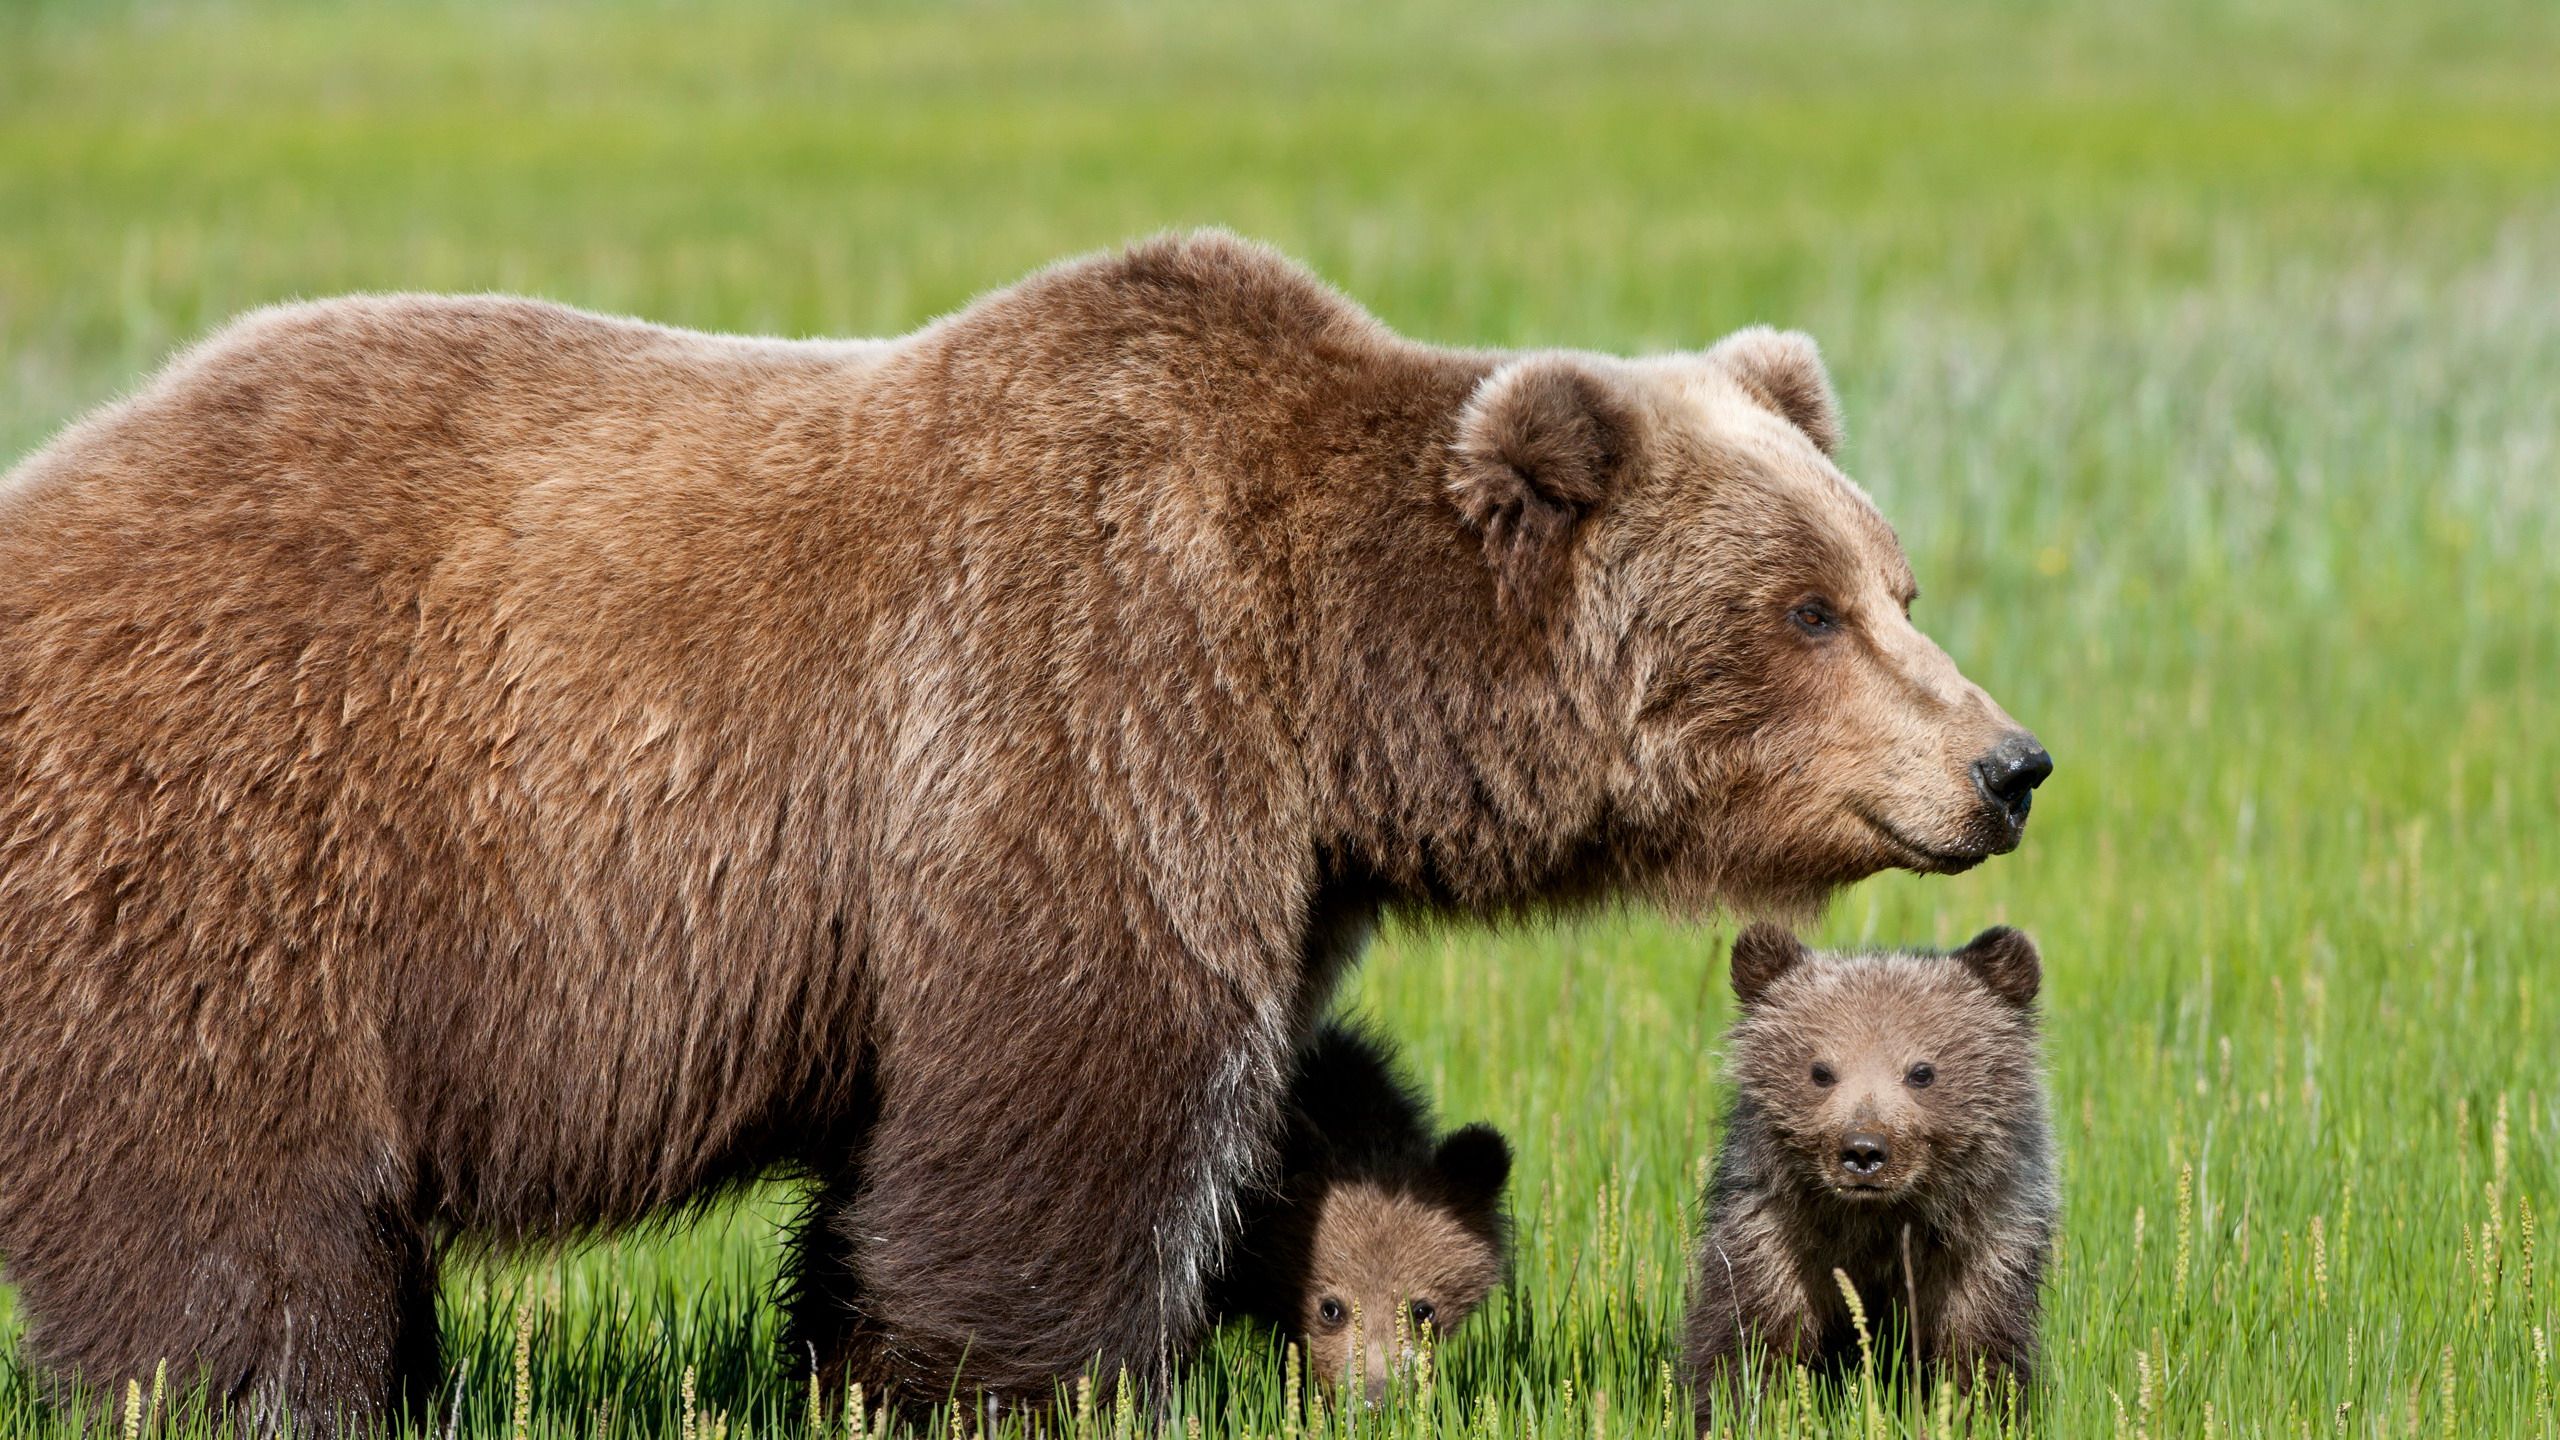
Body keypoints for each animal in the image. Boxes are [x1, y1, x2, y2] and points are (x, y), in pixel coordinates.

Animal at [0, 235, 2048, 1424]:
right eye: (1806, 609)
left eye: (1897, 582)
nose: (2009, 763)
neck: (1324, 682)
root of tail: (48, 491)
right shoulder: (1081, 716)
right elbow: (1070, 1104)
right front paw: (1006, 1380)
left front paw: (847, 1353)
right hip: (240, 848)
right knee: (229, 1204)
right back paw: (267, 1390)